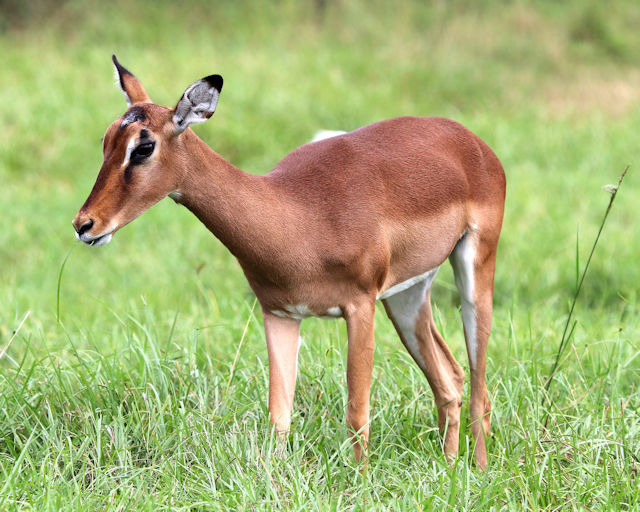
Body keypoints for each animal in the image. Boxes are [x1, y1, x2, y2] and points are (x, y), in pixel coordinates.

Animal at [72, 55, 506, 469]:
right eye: (106, 140)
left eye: (143, 147)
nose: (84, 224)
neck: (298, 216)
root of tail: (473, 142)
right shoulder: (280, 313)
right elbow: (279, 416)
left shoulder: (360, 306)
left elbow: (357, 414)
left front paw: (360, 482)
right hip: (406, 295)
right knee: (450, 379)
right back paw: (449, 466)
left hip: (474, 269)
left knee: (479, 387)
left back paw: (480, 470)